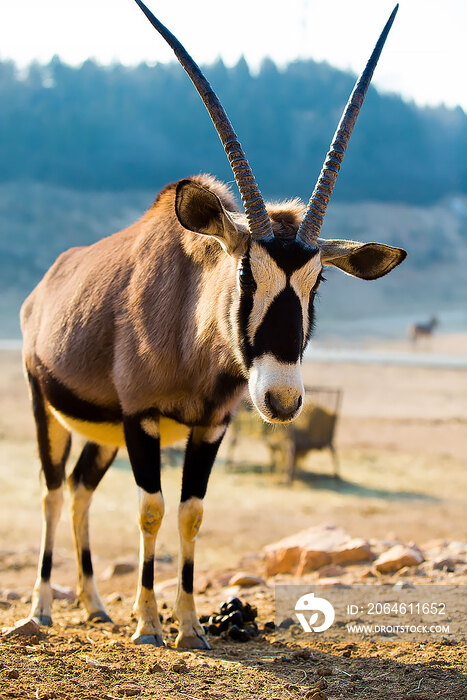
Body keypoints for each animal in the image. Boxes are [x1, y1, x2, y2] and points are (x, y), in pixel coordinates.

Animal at [21, 0, 406, 648]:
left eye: (318, 283)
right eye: (246, 272)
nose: (281, 399)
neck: (189, 332)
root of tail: (41, 288)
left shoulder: (211, 426)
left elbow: (192, 512)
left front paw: (192, 627)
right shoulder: (142, 419)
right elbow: (151, 508)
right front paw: (149, 625)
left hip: (102, 434)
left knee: (77, 491)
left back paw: (95, 604)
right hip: (47, 408)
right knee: (52, 491)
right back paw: (43, 607)